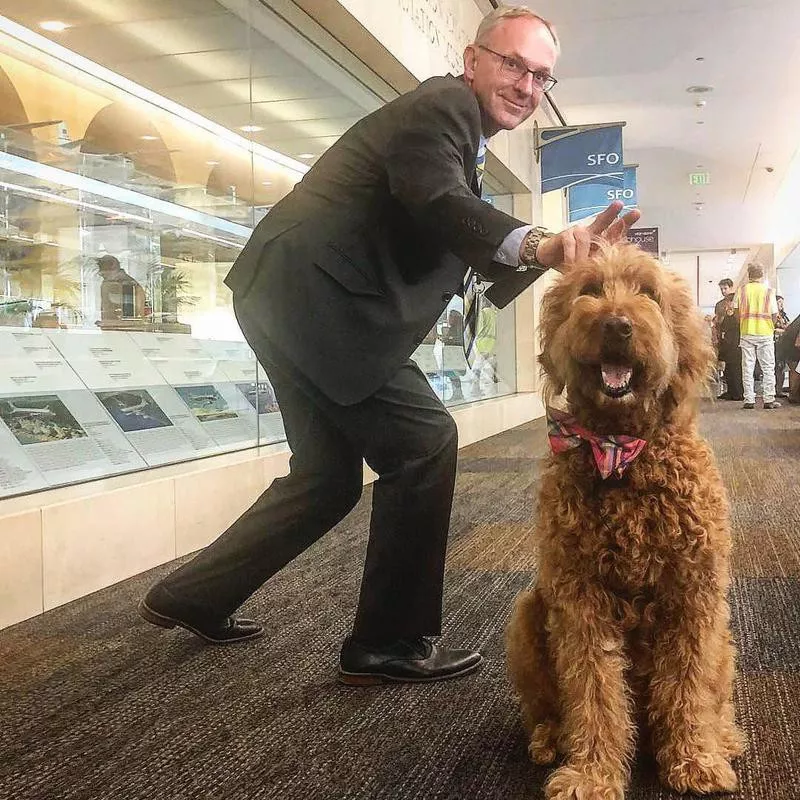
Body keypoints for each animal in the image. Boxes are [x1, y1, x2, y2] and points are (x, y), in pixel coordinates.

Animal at [506, 244, 744, 800]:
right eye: (590, 289)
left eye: (649, 293)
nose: (616, 325)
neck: (621, 453)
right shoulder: (580, 600)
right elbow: (592, 691)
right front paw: (591, 774)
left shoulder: (694, 594)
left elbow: (688, 686)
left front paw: (695, 759)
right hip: (527, 615)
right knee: (544, 707)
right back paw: (550, 738)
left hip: (723, 640)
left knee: (714, 695)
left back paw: (723, 737)